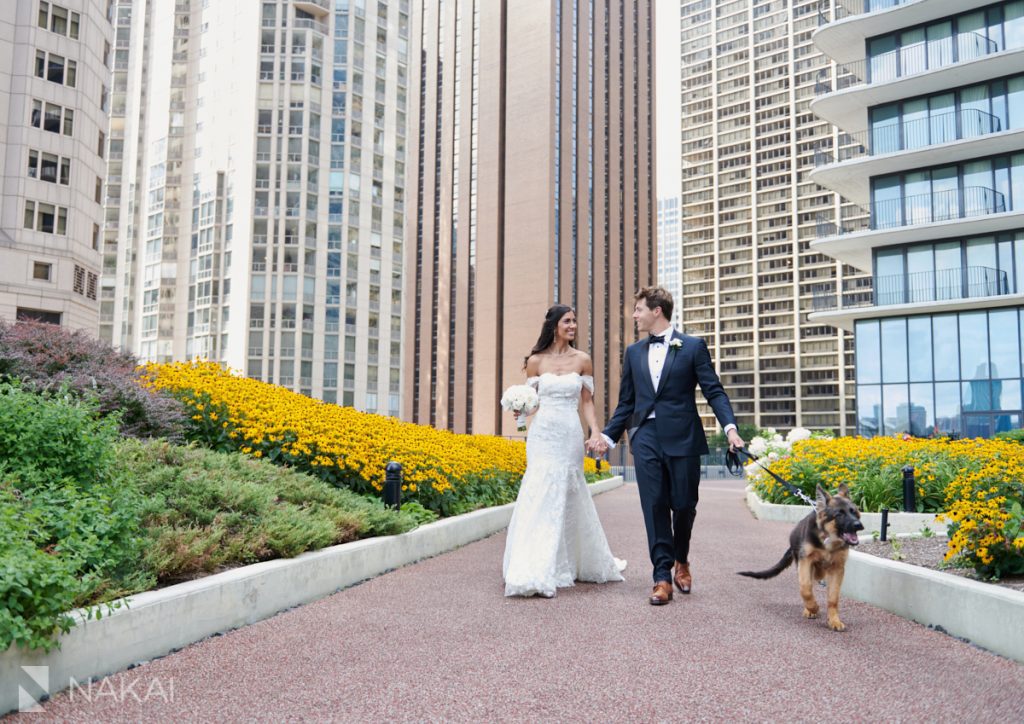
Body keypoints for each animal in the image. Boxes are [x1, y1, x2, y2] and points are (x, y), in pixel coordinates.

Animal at [741, 483, 860, 630]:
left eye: (854, 511)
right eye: (839, 514)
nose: (858, 525)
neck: (826, 539)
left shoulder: (837, 568)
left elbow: (833, 598)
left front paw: (834, 620)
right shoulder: (806, 561)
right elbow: (805, 588)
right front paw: (813, 608)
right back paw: (809, 610)